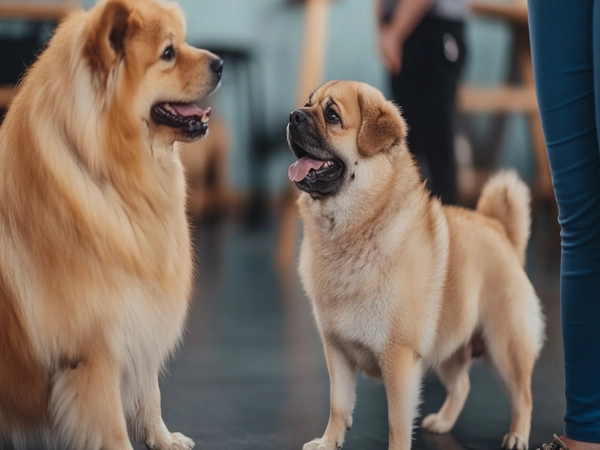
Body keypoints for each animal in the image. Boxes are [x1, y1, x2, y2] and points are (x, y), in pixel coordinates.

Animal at [0, 0, 223, 448]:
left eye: (183, 40)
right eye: (168, 53)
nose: (222, 63)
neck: (111, 177)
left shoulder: (139, 316)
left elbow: (149, 394)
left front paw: (162, 438)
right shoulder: (94, 353)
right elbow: (112, 427)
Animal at [288, 81, 548, 450]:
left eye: (332, 115)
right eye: (307, 105)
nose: (294, 116)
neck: (354, 230)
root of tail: (500, 230)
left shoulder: (398, 360)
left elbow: (397, 423)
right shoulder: (336, 351)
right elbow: (339, 405)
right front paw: (328, 442)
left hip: (504, 347)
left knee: (523, 397)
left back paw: (516, 436)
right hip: (450, 351)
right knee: (462, 386)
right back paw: (442, 422)